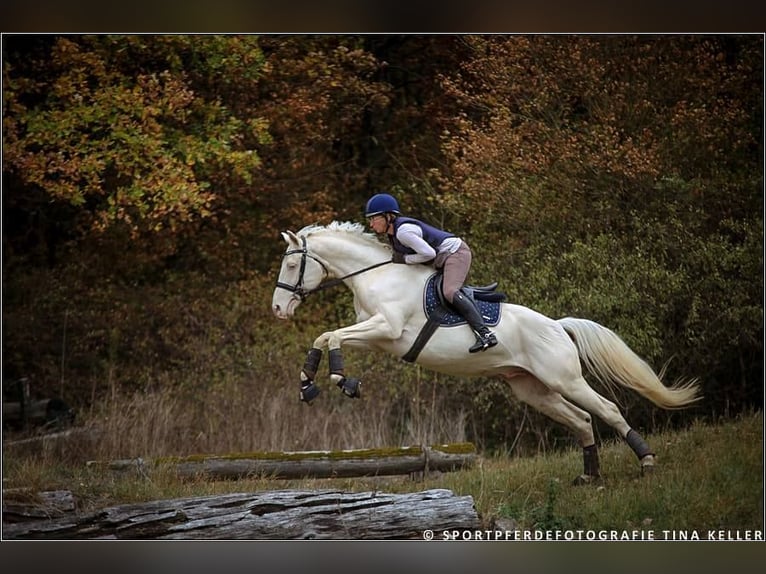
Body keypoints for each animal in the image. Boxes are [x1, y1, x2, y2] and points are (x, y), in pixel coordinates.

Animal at [271, 221, 701, 484]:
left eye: (291, 266)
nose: (278, 310)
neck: (376, 274)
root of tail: (557, 325)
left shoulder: (388, 328)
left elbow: (332, 337)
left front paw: (343, 381)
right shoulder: (378, 336)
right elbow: (326, 337)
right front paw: (309, 384)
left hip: (564, 377)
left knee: (607, 409)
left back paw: (646, 460)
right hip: (531, 387)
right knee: (580, 420)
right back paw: (589, 476)